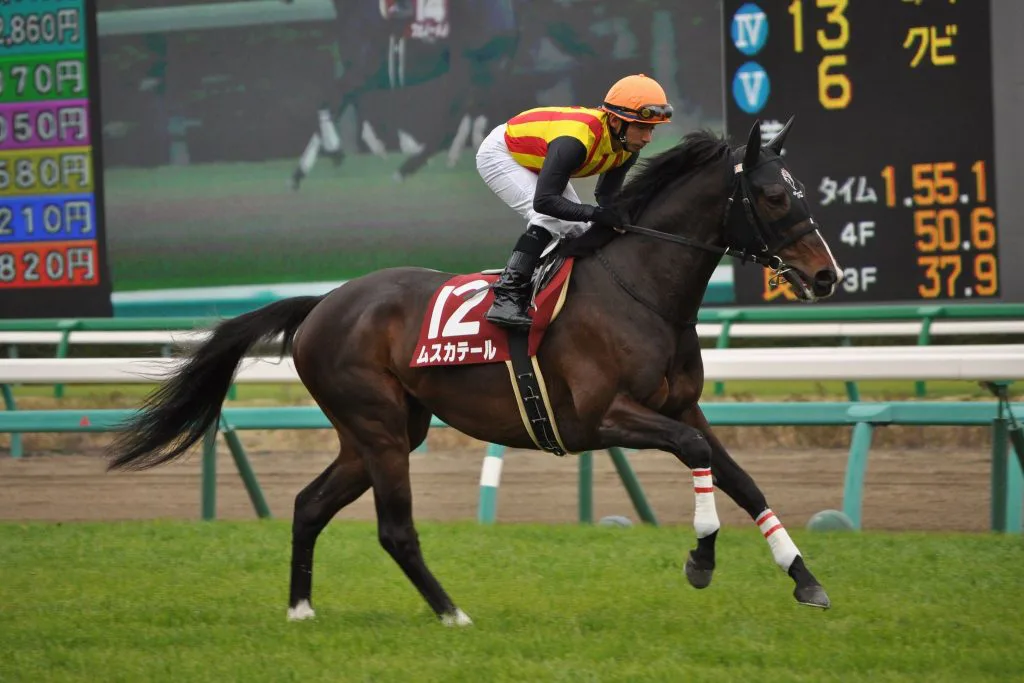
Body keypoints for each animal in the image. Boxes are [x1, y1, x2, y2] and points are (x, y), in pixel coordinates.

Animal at [107, 117, 842, 626]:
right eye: (774, 197)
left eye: (799, 190)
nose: (826, 276)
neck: (639, 290)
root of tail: (322, 304)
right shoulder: (607, 415)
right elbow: (697, 455)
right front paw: (701, 558)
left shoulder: (682, 405)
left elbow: (740, 476)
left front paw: (804, 577)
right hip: (378, 426)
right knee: (395, 529)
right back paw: (452, 613)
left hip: (382, 431)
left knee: (309, 504)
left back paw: (301, 609)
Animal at [290, 0, 519, 189]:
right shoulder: (364, 75)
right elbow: (346, 109)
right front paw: (299, 173)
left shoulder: (362, 72)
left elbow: (329, 103)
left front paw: (335, 152)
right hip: (481, 70)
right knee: (470, 111)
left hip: (466, 65)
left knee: (455, 118)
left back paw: (408, 167)